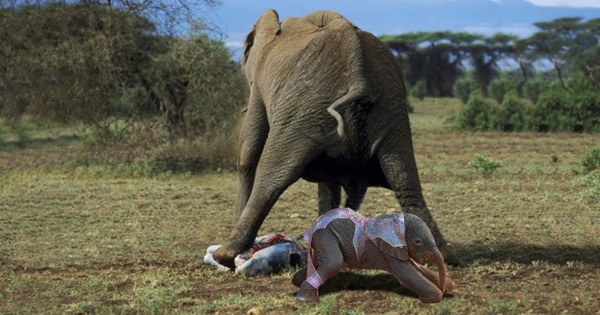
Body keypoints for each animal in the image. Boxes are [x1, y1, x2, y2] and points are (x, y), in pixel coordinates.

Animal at [214, 9, 460, 266]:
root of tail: (358, 77)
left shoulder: (260, 84)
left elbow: (248, 150)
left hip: (304, 112)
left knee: (271, 176)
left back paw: (225, 254)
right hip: (392, 113)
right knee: (405, 181)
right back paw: (443, 256)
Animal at [292, 210, 454, 304]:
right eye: (418, 242)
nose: (443, 288)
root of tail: (311, 227)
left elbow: (416, 268)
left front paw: (449, 285)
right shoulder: (388, 251)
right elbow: (407, 275)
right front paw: (434, 297)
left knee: (318, 262)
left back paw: (298, 282)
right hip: (325, 235)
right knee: (333, 263)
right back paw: (306, 299)